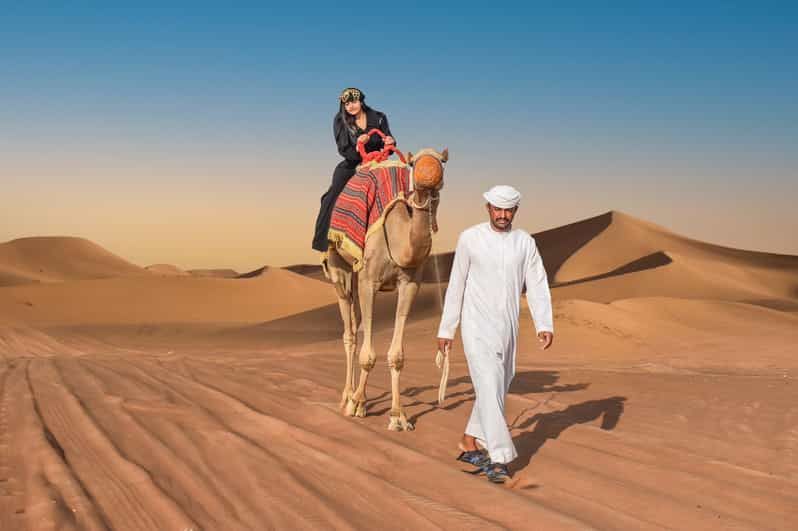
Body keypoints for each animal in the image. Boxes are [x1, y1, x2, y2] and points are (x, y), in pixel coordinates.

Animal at [324, 148, 450, 430]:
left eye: (442, 160)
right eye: (414, 163)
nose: (429, 172)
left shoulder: (410, 284)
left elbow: (397, 355)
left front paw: (398, 415)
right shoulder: (369, 281)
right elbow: (367, 354)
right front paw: (357, 404)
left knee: (357, 325)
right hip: (340, 270)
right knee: (350, 334)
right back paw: (347, 396)